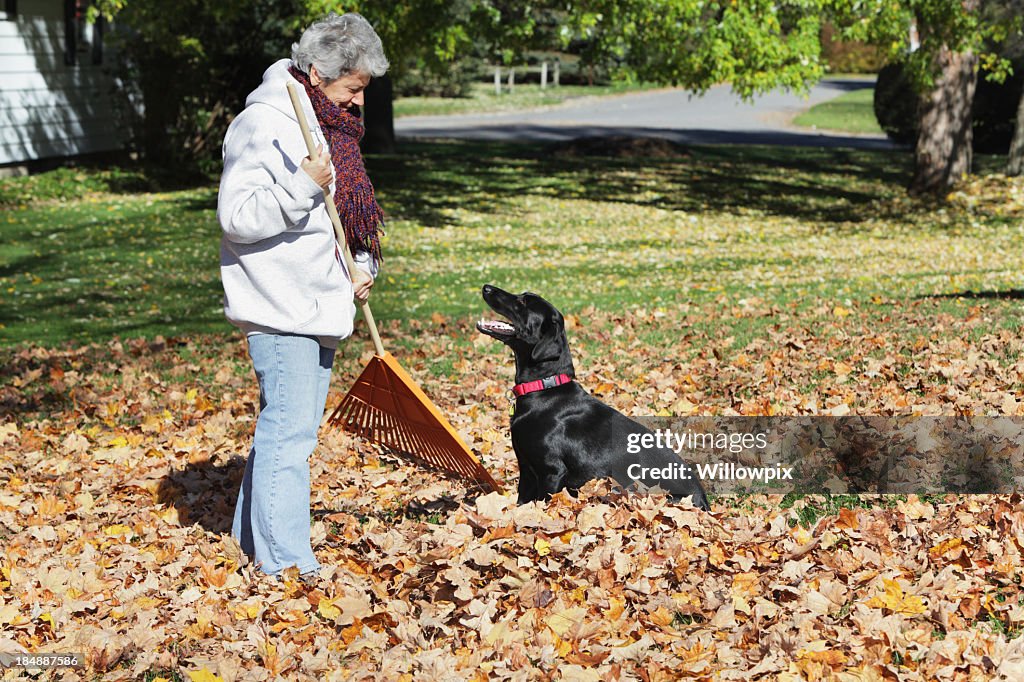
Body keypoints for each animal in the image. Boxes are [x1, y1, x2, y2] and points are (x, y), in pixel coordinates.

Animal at [475, 282, 708, 509]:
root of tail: (704, 501)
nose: (486, 287)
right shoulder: (526, 468)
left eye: (523, 302)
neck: (544, 388)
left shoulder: (552, 471)